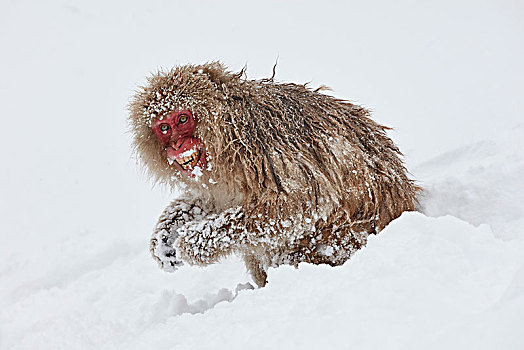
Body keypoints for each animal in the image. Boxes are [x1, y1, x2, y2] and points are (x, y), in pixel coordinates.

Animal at [129, 62, 420, 288]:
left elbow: (303, 202)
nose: (177, 145)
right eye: (163, 127)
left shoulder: (259, 147)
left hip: (343, 242)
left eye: (182, 119)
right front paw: (166, 234)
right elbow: (215, 200)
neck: (225, 137)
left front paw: (195, 242)